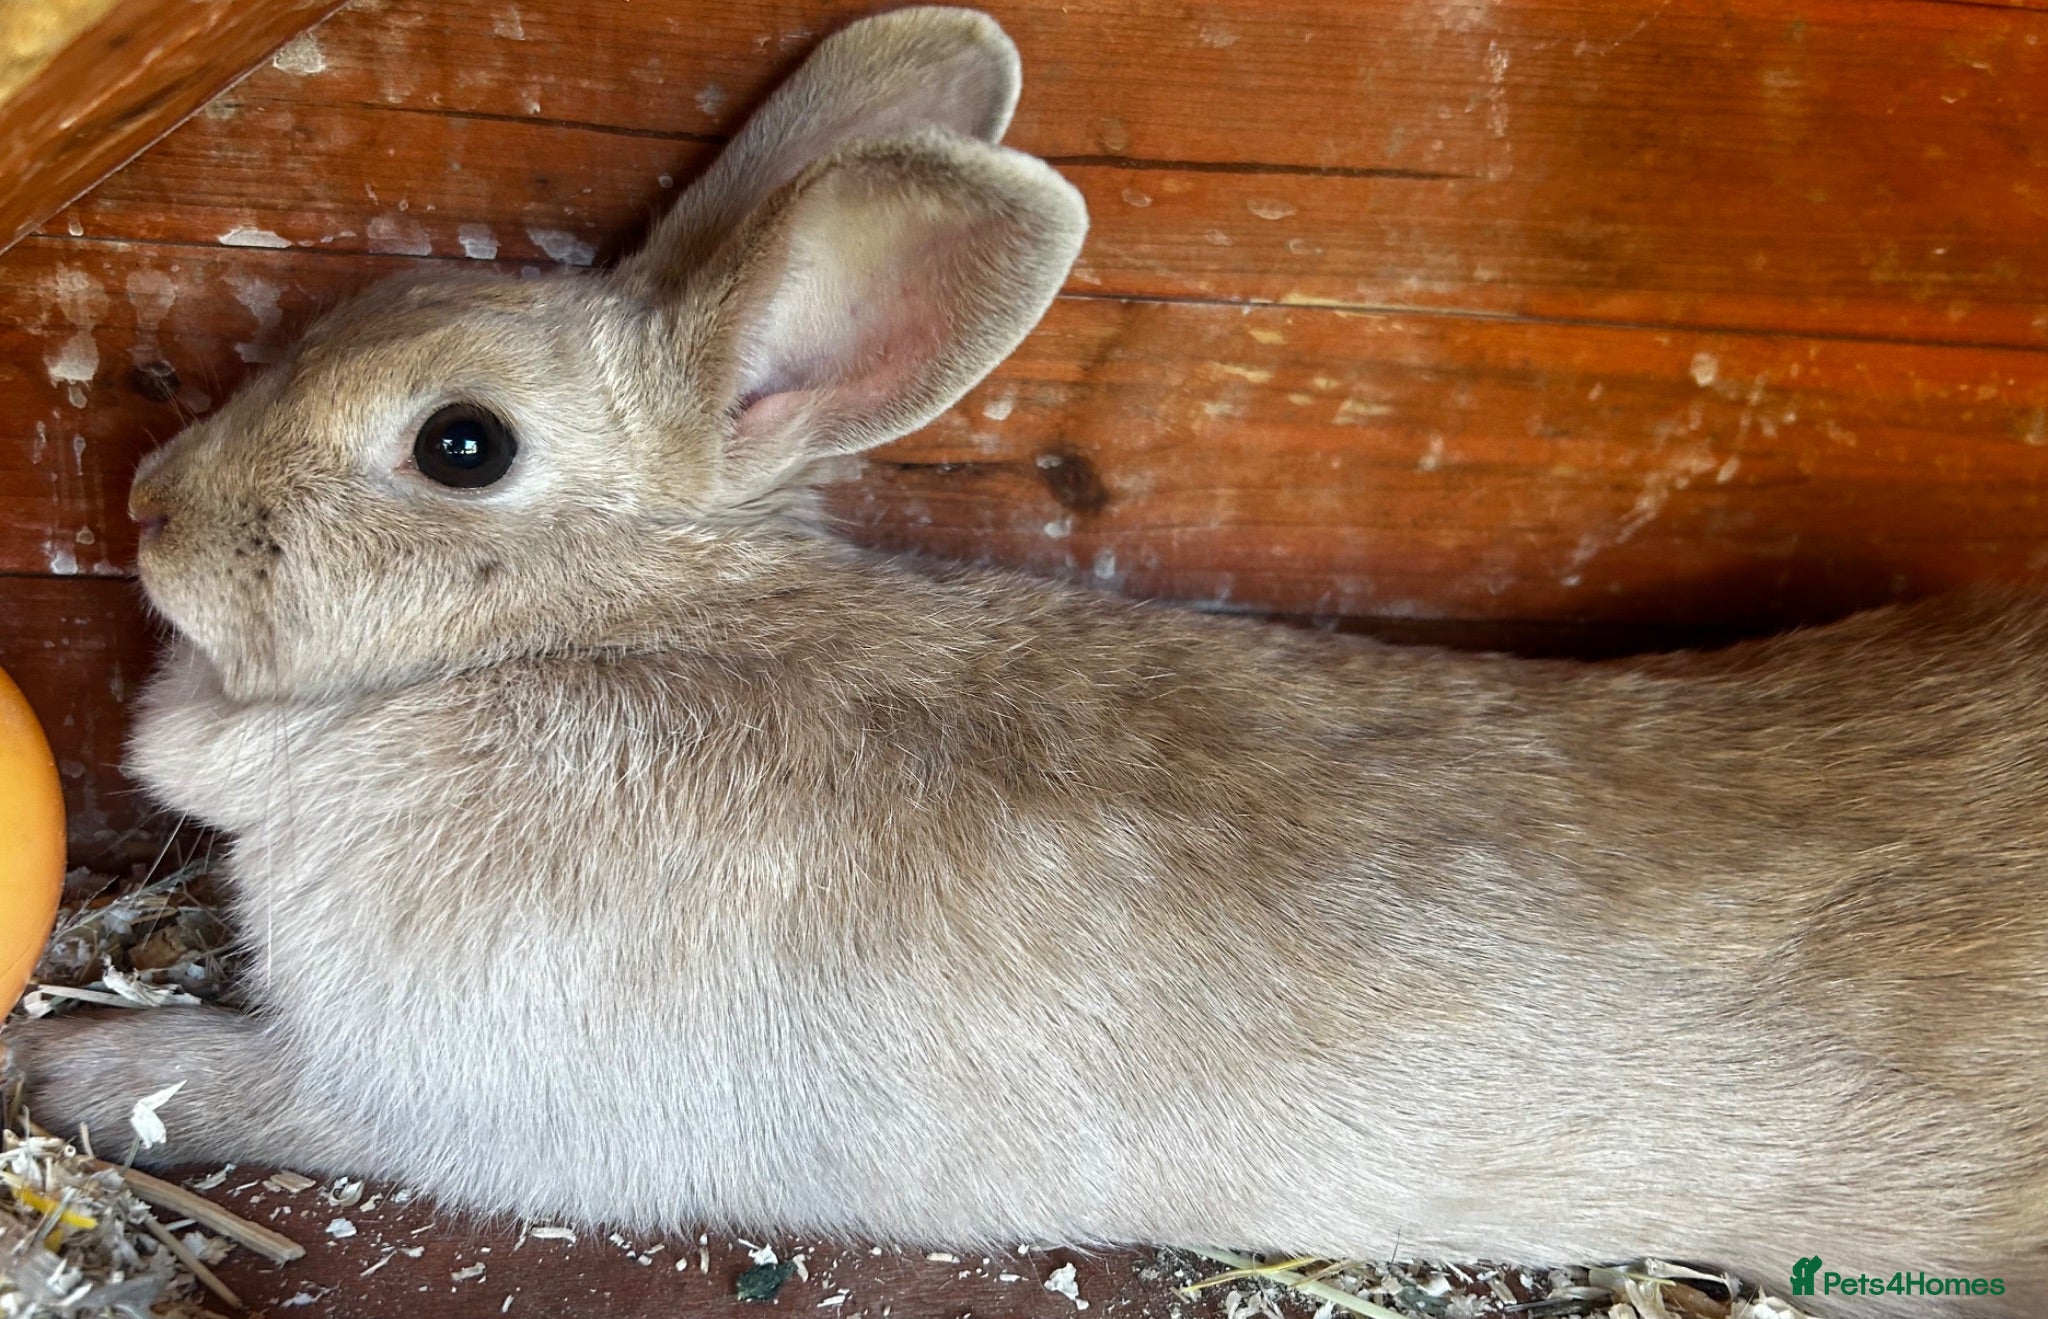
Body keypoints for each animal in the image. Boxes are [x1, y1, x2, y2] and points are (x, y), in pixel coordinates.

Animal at [8, 8, 2048, 1317]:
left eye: (460, 446)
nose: (153, 504)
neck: (609, 621)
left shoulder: (421, 1087)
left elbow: (230, 1086)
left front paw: (70, 1065)